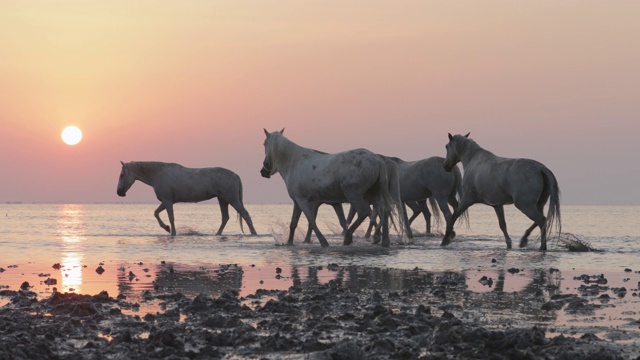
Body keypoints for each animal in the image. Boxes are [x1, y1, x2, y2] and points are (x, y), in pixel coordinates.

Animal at [116, 161, 256, 236]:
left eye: (122, 175)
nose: (119, 192)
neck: (158, 174)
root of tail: (235, 175)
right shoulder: (165, 202)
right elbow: (156, 213)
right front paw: (166, 228)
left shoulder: (167, 201)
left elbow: (171, 218)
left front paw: (171, 231)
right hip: (222, 199)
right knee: (225, 217)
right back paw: (217, 234)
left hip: (231, 199)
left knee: (245, 214)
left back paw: (254, 233)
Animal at [258, 128, 400, 246]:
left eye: (264, 143)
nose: (264, 171)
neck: (295, 162)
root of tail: (377, 160)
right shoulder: (298, 201)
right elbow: (294, 223)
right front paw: (289, 242)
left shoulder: (303, 200)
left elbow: (311, 221)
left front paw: (323, 241)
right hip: (375, 195)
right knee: (383, 212)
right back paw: (383, 240)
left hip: (354, 195)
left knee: (364, 212)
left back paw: (349, 237)